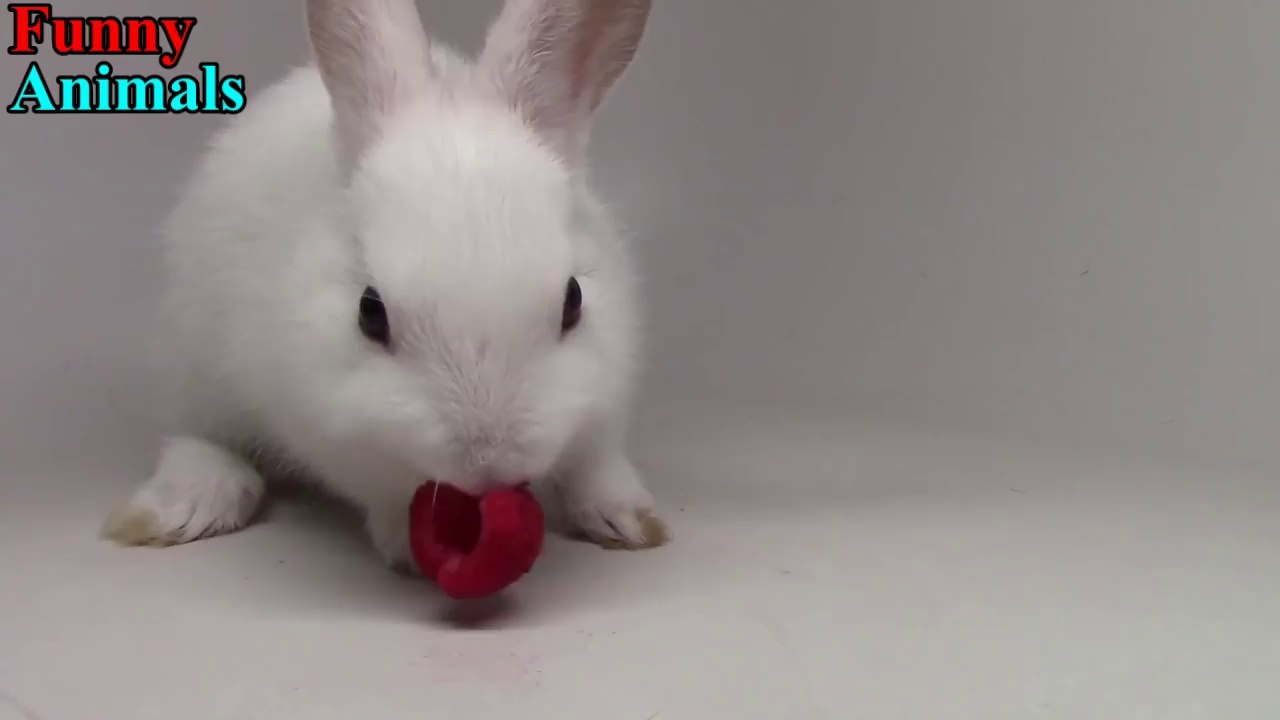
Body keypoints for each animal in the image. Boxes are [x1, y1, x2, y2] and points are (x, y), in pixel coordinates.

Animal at [102, 0, 668, 571]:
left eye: (573, 301)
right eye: (369, 313)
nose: (488, 461)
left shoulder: (605, 400)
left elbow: (595, 464)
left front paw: (631, 522)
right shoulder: (331, 424)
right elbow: (382, 488)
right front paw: (410, 549)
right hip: (194, 363)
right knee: (198, 437)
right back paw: (180, 508)